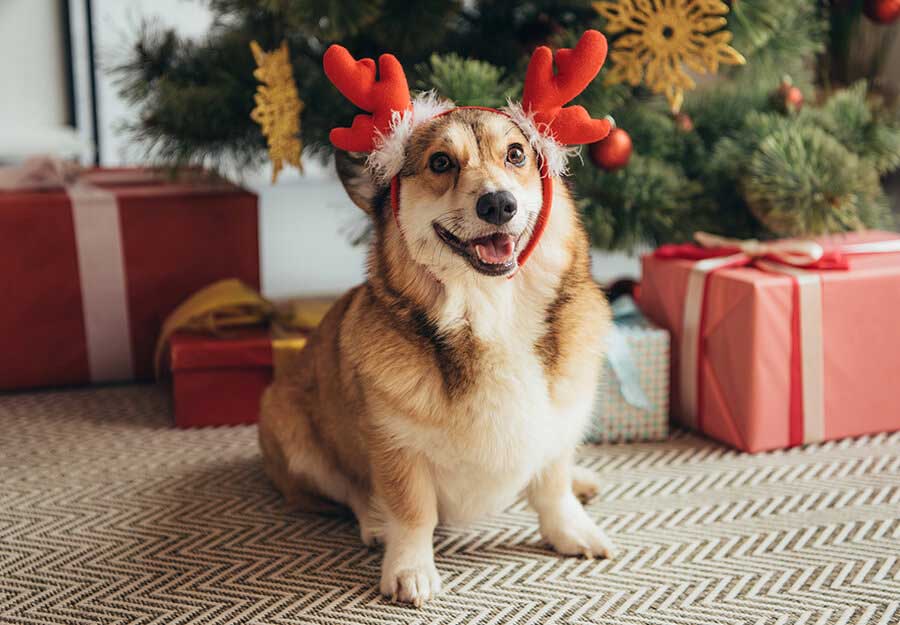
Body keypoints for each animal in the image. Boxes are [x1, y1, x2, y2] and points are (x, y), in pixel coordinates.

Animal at [256, 30, 616, 604]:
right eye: (442, 163)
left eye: (516, 154)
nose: (498, 204)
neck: (491, 312)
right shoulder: (395, 447)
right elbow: (412, 513)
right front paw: (408, 568)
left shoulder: (557, 427)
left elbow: (552, 488)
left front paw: (573, 530)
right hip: (292, 434)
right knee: (348, 491)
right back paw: (373, 522)